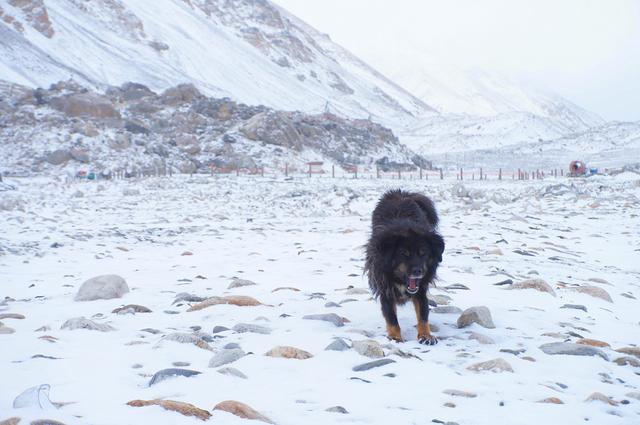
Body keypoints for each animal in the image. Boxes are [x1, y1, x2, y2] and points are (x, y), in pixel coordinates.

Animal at [364, 189, 444, 344]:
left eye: (423, 253)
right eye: (404, 254)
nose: (418, 271)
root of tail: (402, 193)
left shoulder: (421, 289)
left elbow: (423, 314)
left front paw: (425, 335)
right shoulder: (385, 289)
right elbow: (391, 317)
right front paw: (395, 337)